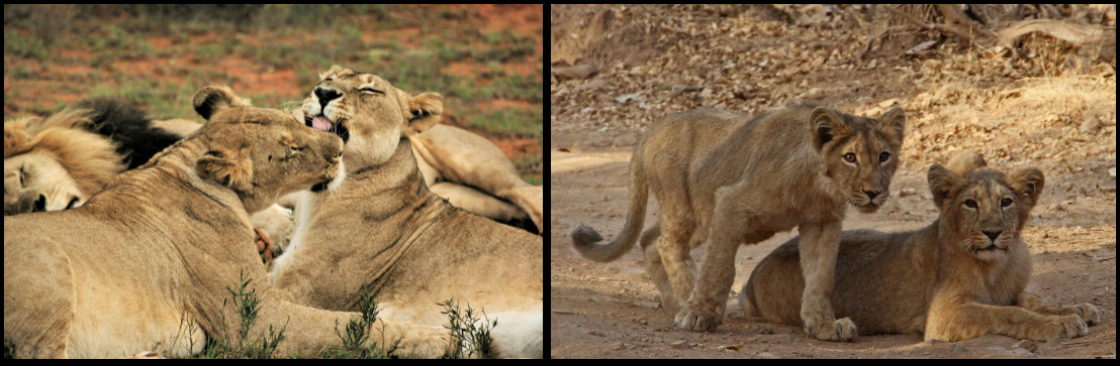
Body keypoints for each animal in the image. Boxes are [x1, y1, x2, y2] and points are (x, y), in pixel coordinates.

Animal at [5, 85, 450, 358]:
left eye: (296, 122)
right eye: (289, 150)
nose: (339, 147)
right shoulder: (257, 321)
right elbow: (354, 324)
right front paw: (441, 338)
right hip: (48, 269)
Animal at [573, 104, 904, 340]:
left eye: (884, 156)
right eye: (850, 157)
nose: (874, 192)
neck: (818, 186)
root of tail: (653, 128)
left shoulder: (823, 222)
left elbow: (821, 275)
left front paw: (824, 324)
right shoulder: (731, 202)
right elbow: (719, 266)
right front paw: (700, 315)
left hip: (701, 217)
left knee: (651, 241)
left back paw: (675, 303)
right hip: (683, 206)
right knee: (668, 245)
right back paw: (687, 302)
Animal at [739, 153, 1097, 342]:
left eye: (1006, 202)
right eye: (970, 203)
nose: (993, 232)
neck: (996, 266)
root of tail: (754, 274)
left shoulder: (1012, 290)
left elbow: (1032, 300)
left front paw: (1075, 309)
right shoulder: (944, 314)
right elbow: (1006, 313)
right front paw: (1056, 325)